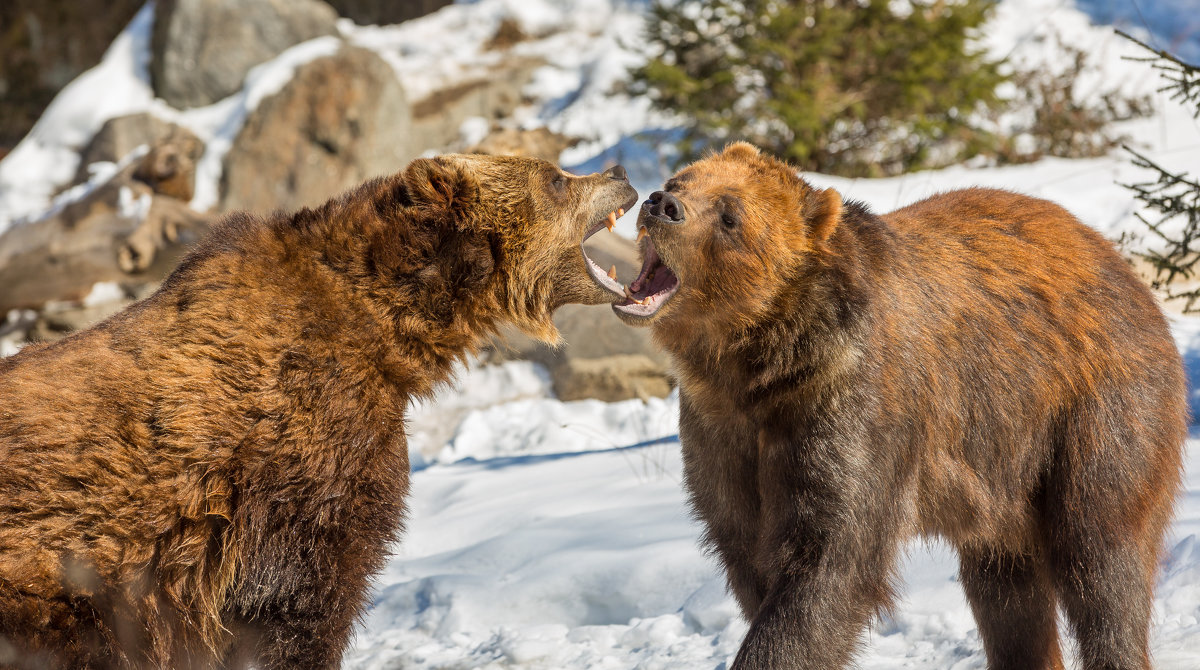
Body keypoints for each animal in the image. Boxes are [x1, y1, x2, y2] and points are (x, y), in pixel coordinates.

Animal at [0, 154, 638, 667]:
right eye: (555, 177)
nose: (620, 171)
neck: (385, 331)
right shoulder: (298, 470)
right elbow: (305, 599)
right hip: (51, 589)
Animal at [604, 141, 1185, 670]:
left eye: (730, 214)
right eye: (681, 179)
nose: (660, 203)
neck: (759, 365)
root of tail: (1121, 264)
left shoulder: (853, 408)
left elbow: (830, 559)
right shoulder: (721, 432)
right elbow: (747, 552)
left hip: (1092, 410)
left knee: (1101, 557)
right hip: (1003, 479)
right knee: (1007, 593)